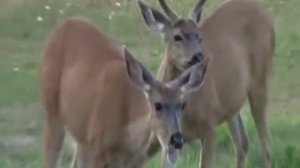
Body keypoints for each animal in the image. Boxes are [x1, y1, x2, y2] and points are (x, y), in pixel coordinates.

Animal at [39, 16, 209, 168]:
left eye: (182, 105)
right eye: (157, 105)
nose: (177, 140)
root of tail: (64, 23)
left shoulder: (134, 162)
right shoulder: (96, 149)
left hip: (81, 136)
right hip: (53, 112)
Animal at [137, 0, 276, 167]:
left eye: (199, 37)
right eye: (177, 36)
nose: (199, 56)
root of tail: (266, 13)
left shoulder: (210, 127)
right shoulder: (166, 139)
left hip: (259, 81)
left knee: (266, 146)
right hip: (230, 102)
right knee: (243, 144)